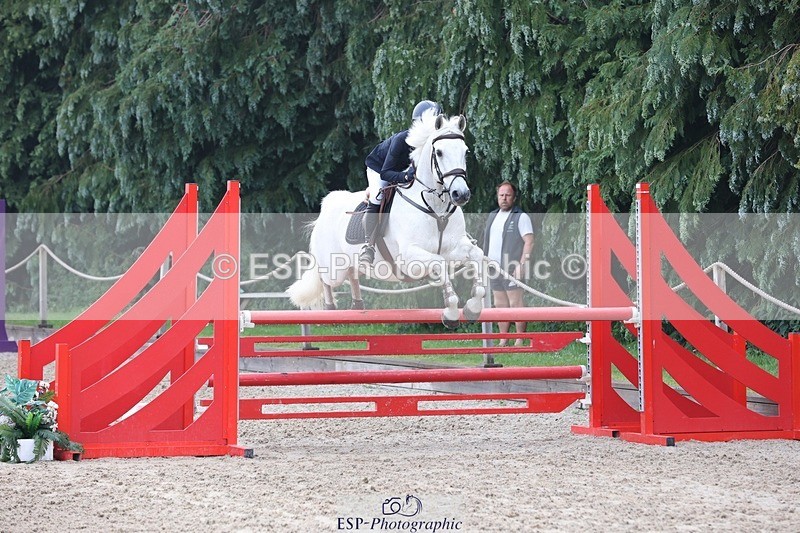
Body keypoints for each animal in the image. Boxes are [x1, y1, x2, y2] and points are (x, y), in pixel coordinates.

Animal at [287, 112, 485, 326]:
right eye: (439, 153)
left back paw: (357, 306)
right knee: (326, 280)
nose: (461, 194)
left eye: (465, 152)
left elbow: (476, 254)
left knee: (353, 275)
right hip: (333, 268)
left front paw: (473, 308)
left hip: (351, 264)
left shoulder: (453, 248)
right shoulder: (410, 257)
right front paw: (451, 312)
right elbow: (439, 262)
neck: (435, 207)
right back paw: (330, 310)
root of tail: (327, 206)